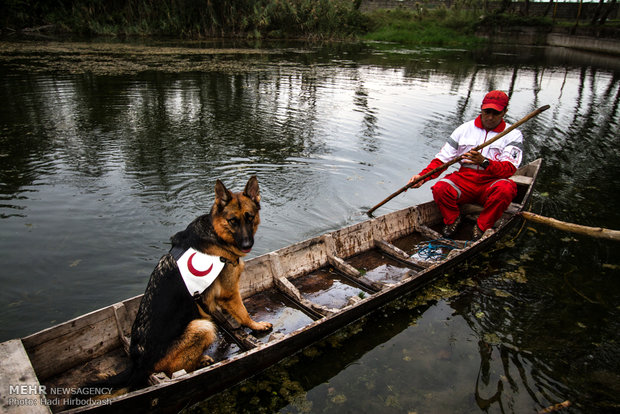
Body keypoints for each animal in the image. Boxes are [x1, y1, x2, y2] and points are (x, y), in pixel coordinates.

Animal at [74, 176, 272, 396]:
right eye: (232, 221)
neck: (216, 233)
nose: (246, 245)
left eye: (250, 217)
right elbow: (243, 313)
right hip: (201, 327)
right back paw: (199, 362)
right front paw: (256, 325)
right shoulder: (229, 293)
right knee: (172, 371)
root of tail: (137, 364)